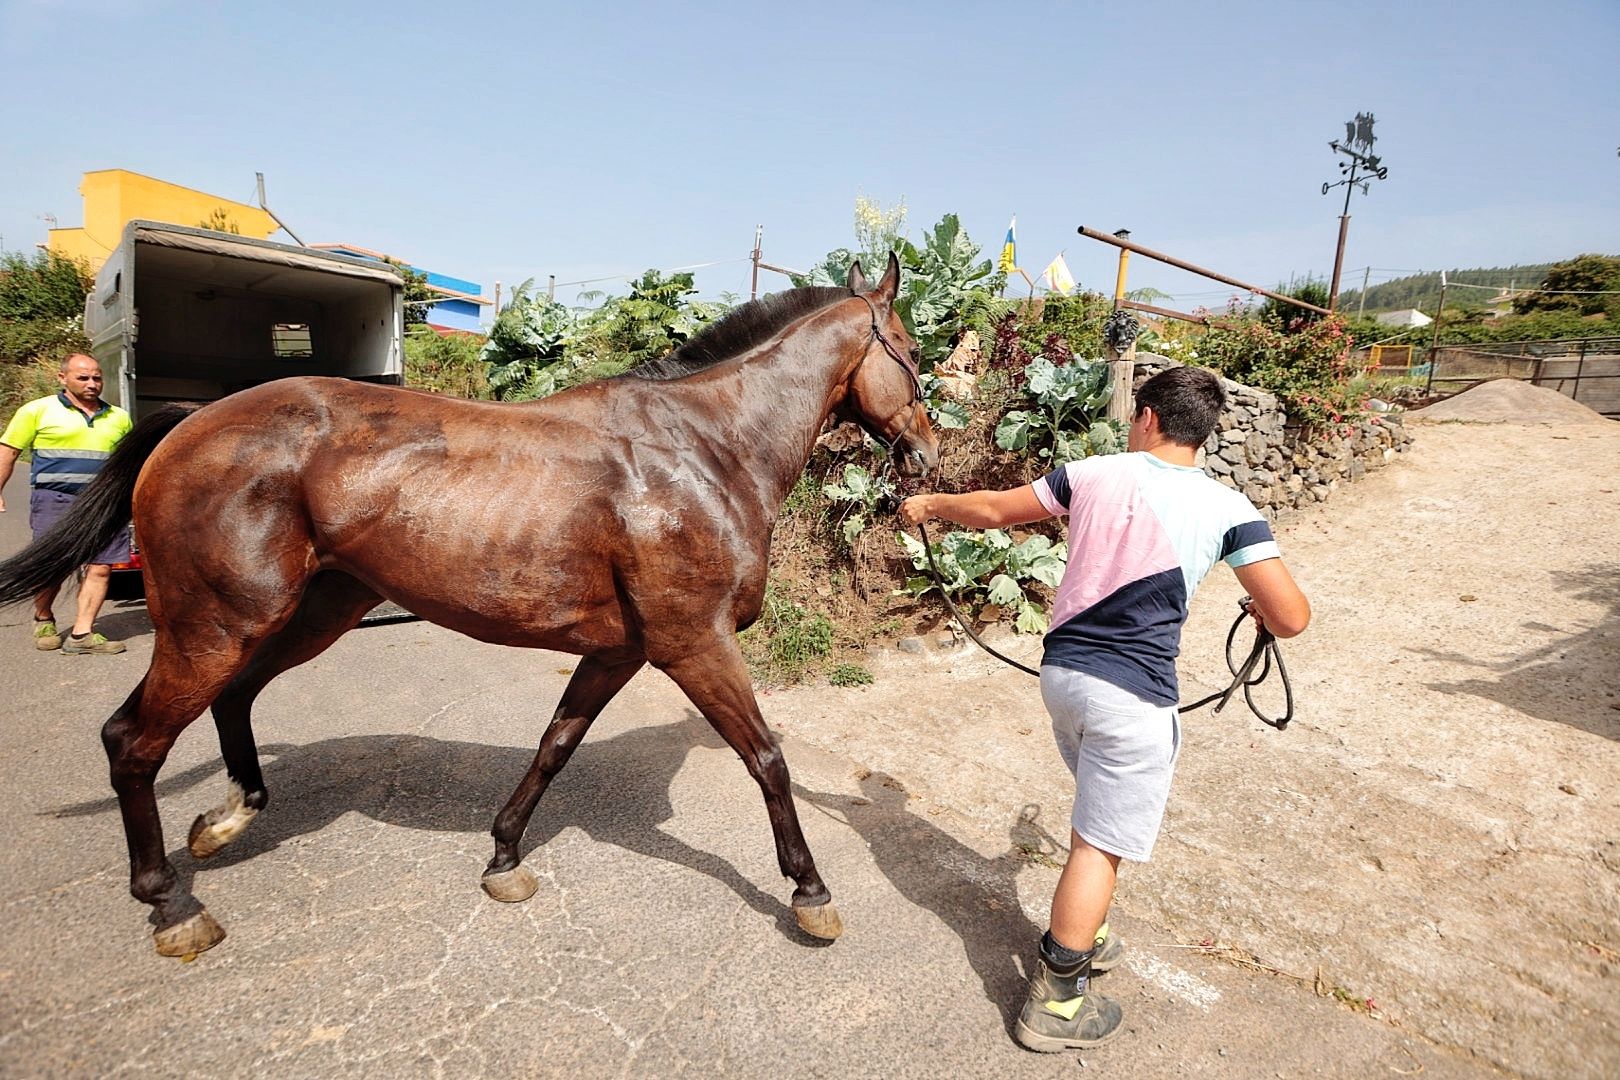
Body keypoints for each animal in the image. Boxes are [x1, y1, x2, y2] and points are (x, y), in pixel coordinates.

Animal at [0, 257, 939, 958]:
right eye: (911, 349)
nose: (927, 457)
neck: (702, 451)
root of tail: (192, 424)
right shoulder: (691, 643)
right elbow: (767, 760)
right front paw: (810, 892)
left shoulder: (618, 651)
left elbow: (555, 747)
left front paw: (504, 856)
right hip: (216, 626)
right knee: (133, 741)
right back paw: (172, 906)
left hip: (309, 613)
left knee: (233, 700)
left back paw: (225, 821)